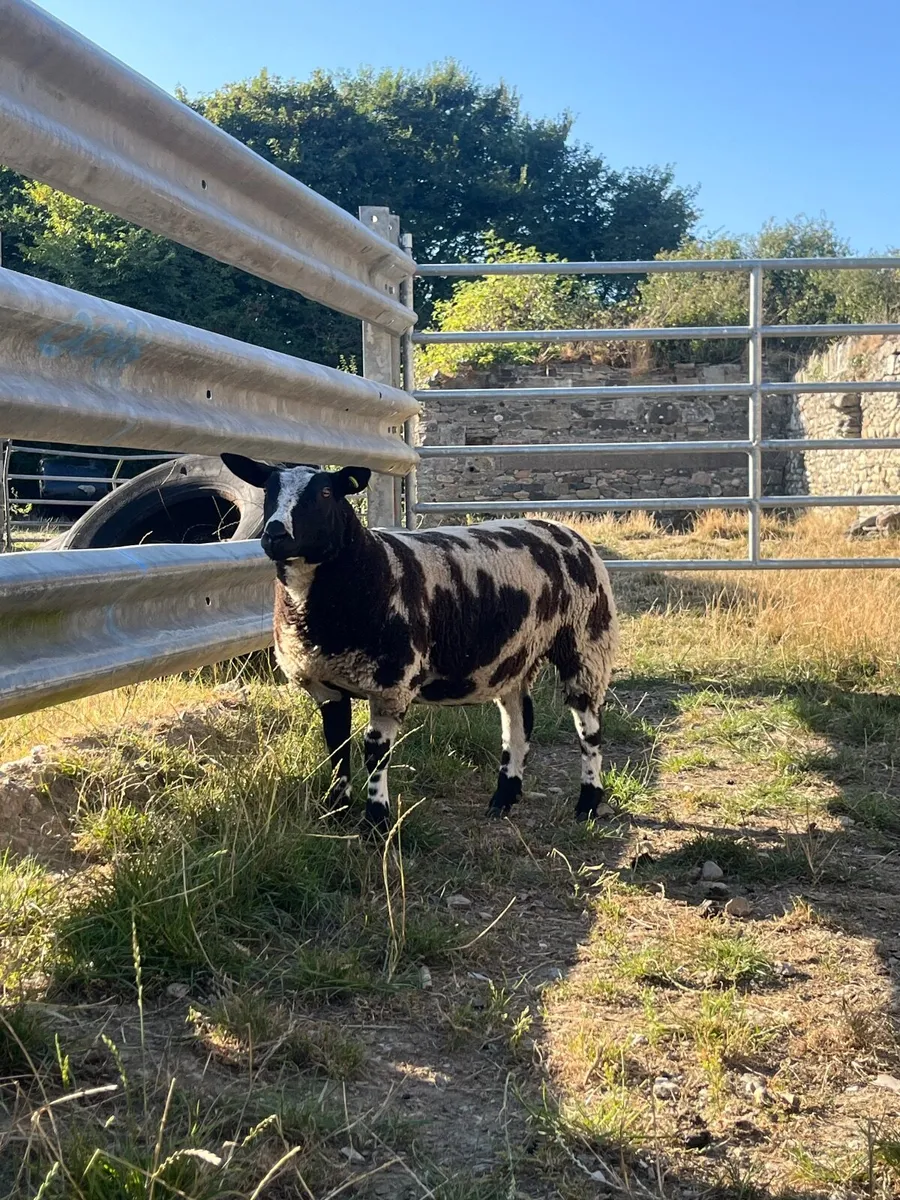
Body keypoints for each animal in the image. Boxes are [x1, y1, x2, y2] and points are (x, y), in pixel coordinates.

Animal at [221, 454, 618, 830]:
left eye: (325, 493)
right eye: (268, 490)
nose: (275, 534)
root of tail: (562, 528)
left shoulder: (390, 685)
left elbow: (375, 754)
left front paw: (377, 821)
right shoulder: (326, 684)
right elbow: (336, 748)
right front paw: (334, 812)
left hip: (586, 642)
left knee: (589, 730)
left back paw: (587, 803)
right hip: (515, 657)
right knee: (518, 724)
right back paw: (503, 799)